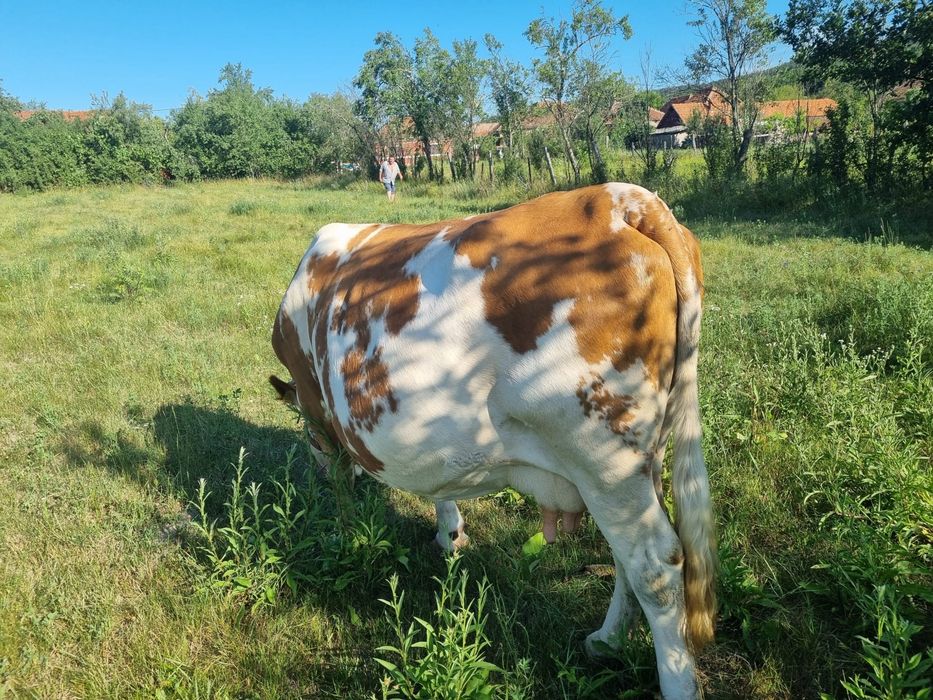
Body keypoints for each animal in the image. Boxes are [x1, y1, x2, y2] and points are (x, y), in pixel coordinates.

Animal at [270, 183, 717, 699]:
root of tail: (621, 199)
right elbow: (438, 485)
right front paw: (450, 532)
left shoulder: (317, 405)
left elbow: (341, 483)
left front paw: (348, 541)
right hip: (644, 457)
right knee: (628, 555)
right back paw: (607, 640)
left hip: (604, 457)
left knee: (653, 563)